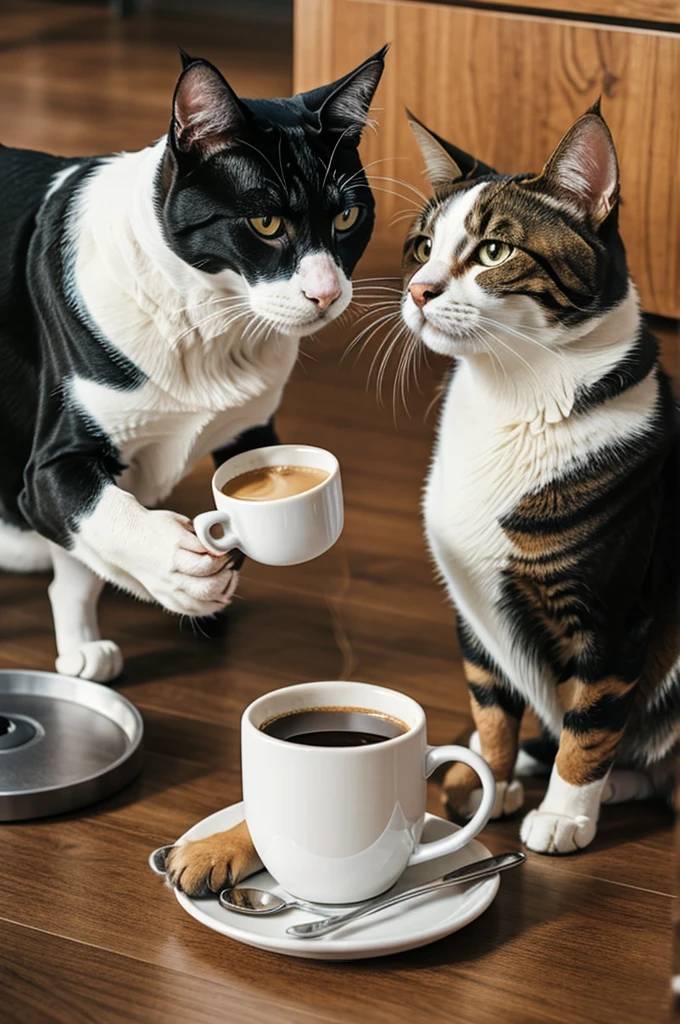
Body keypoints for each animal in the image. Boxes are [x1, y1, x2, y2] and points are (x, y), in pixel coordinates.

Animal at [0, 49, 383, 688]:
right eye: (266, 225)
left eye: (348, 218)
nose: (326, 294)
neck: (206, 319)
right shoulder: (52, 466)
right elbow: (92, 513)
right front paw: (174, 573)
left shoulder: (252, 426)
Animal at [401, 105, 675, 856]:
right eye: (421, 247)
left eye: (494, 251)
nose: (418, 289)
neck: (513, 402)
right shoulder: (472, 606)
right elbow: (490, 701)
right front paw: (490, 782)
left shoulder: (613, 614)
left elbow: (593, 720)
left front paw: (565, 813)